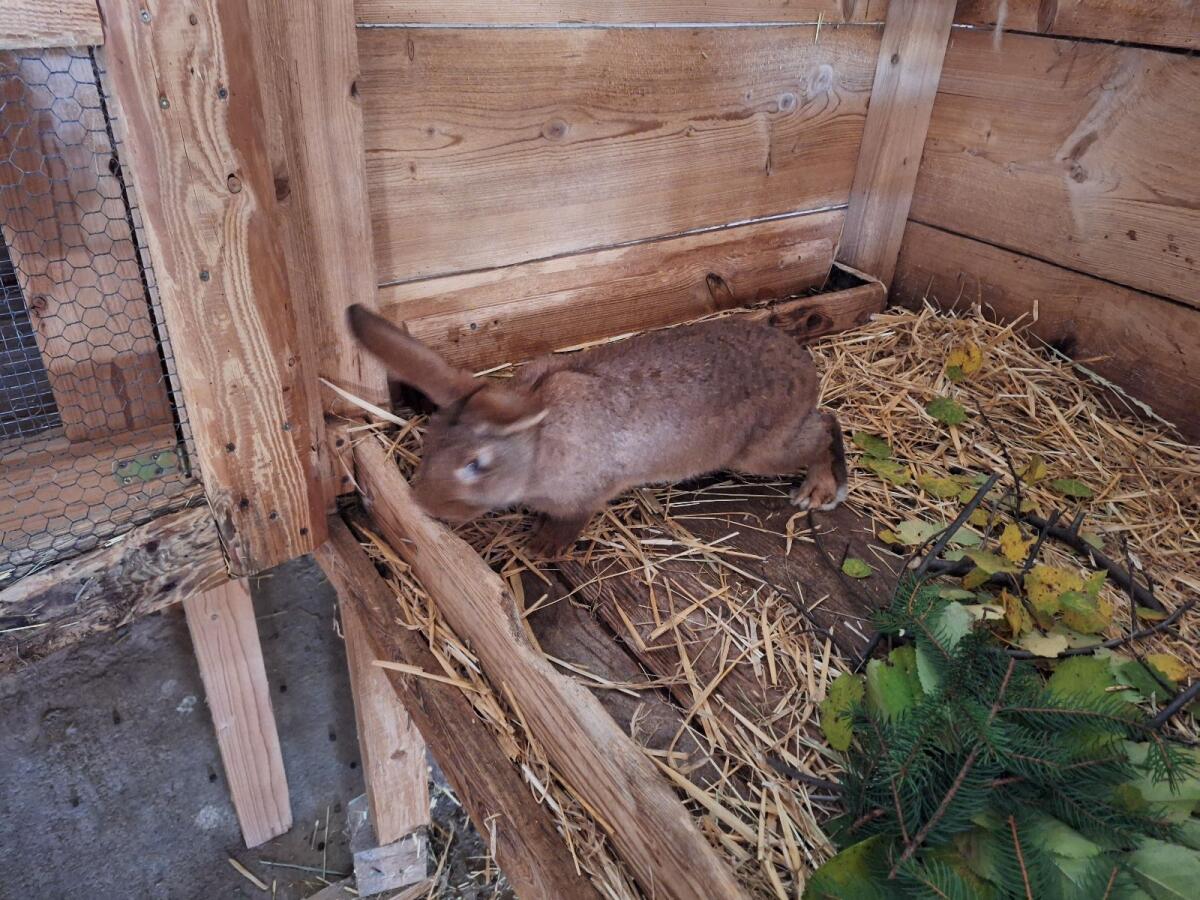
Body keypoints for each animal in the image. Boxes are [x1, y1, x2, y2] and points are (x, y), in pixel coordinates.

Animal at [348, 304, 848, 556]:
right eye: (430, 442)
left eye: (476, 464)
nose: (423, 504)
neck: (537, 447)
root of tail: (805, 369)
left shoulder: (586, 494)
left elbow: (570, 522)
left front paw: (541, 548)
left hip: (762, 451)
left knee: (824, 426)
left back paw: (821, 490)